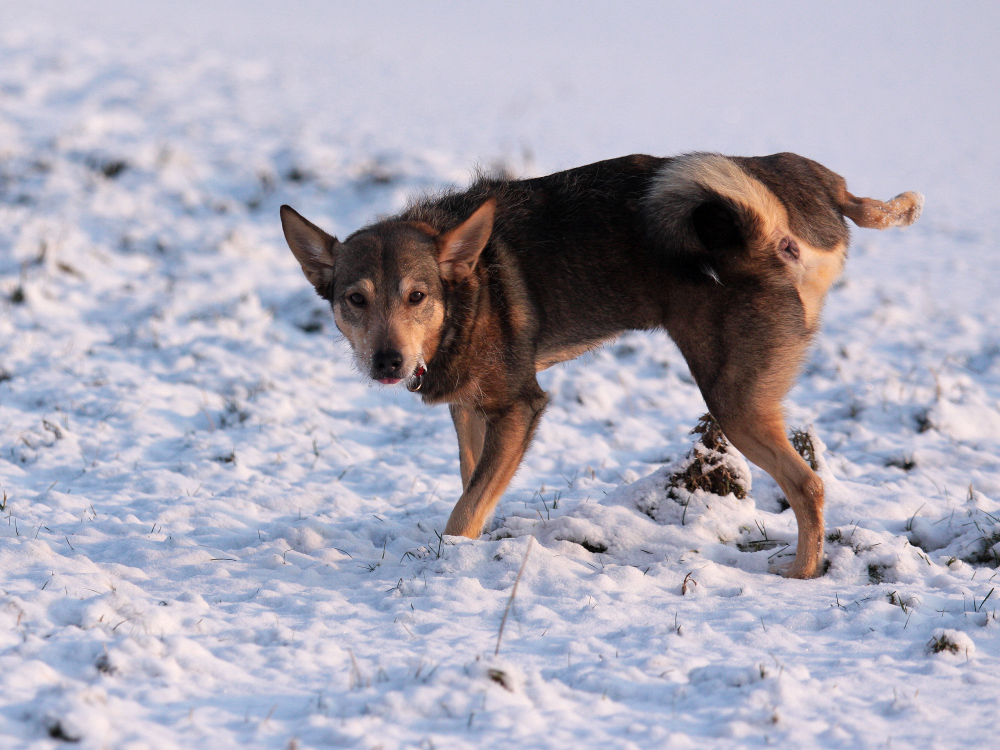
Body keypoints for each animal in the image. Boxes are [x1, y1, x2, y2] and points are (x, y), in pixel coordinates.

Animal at [282, 150, 920, 580]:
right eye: (355, 299)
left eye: (416, 296)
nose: (388, 362)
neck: (465, 295)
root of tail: (782, 228)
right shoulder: (472, 409)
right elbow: (473, 485)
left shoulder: (521, 405)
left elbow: (463, 510)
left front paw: (450, 562)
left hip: (733, 400)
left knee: (809, 485)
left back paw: (801, 573)